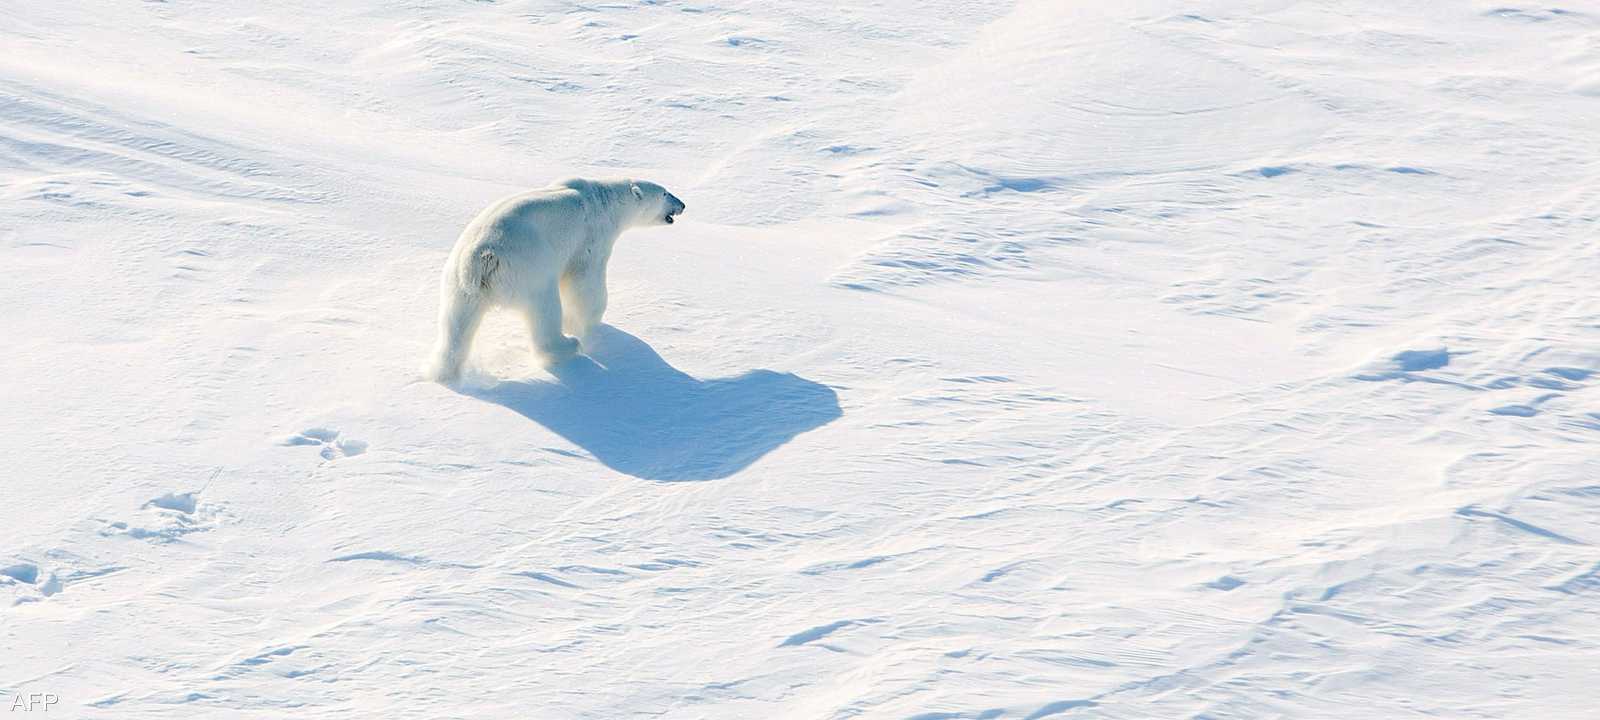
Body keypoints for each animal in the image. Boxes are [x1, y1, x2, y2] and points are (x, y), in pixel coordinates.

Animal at [425, 177, 681, 382]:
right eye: (665, 193)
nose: (683, 205)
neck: (603, 200)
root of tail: (481, 257)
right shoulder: (592, 237)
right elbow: (586, 283)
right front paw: (589, 322)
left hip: (459, 285)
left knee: (455, 324)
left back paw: (442, 372)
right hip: (529, 267)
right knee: (544, 308)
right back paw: (568, 344)